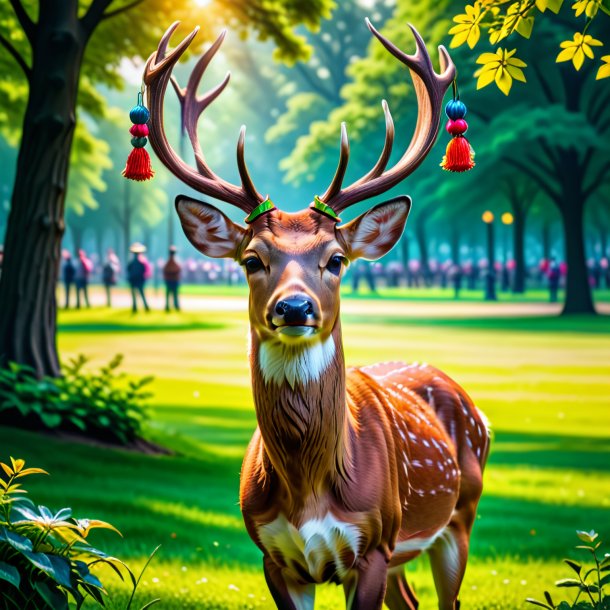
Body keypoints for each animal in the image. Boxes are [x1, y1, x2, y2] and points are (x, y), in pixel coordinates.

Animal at [142, 19, 490, 608]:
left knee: (451, 596)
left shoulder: (373, 546)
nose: (294, 306)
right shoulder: (273, 556)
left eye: (337, 259)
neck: (308, 490)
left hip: (459, 515)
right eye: (251, 259)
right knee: (412, 601)